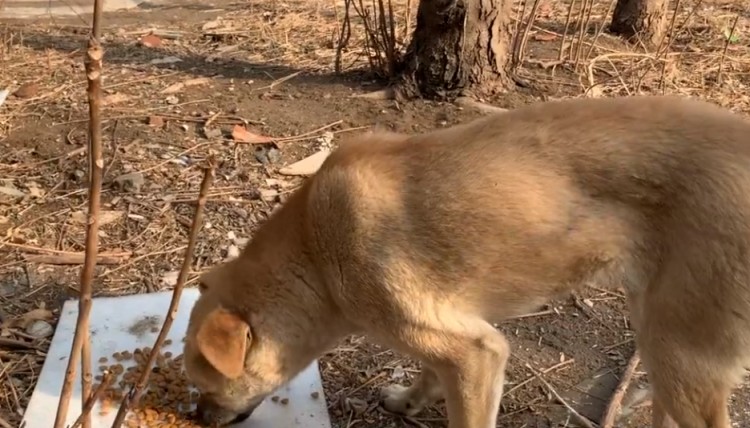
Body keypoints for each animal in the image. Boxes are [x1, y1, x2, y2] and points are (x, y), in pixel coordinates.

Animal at [182, 96, 750, 428]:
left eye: (207, 382)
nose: (199, 416)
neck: (316, 249)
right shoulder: (451, 339)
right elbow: (430, 371)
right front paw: (411, 401)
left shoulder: (478, 353)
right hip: (658, 341)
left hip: (677, 356)